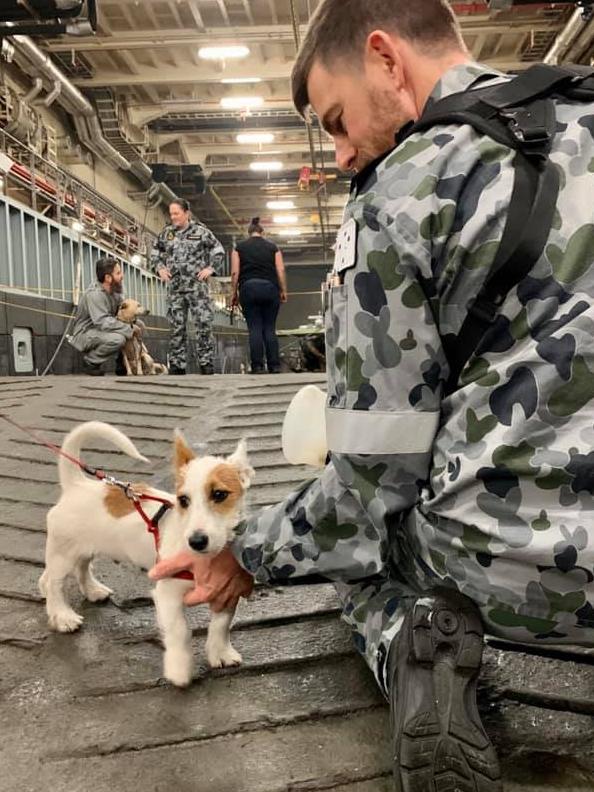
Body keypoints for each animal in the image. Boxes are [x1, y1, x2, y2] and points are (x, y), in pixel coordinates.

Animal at [39, 420, 252, 688]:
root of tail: (77, 485)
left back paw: (93, 590)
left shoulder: (226, 593)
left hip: (85, 548)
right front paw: (180, 669)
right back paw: (62, 616)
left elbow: (221, 625)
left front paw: (220, 653)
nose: (196, 541)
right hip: (63, 554)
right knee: (51, 583)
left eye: (220, 494)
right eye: (183, 500)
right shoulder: (167, 594)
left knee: (81, 568)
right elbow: (180, 632)